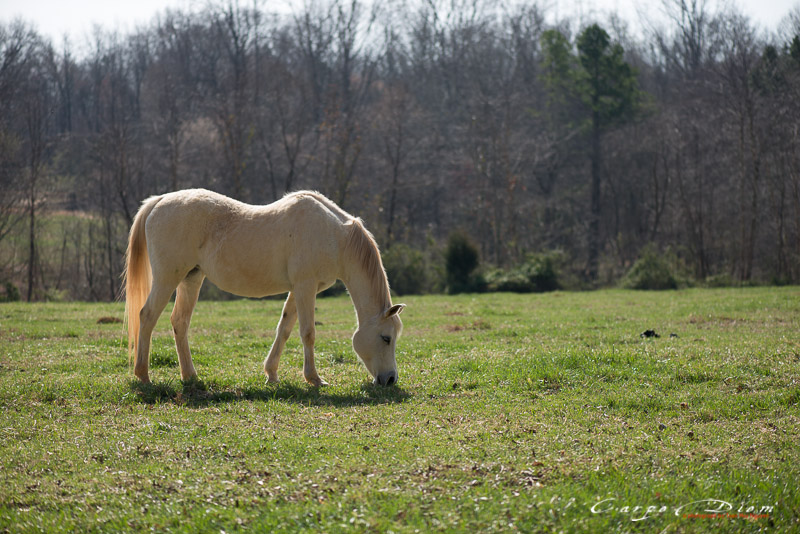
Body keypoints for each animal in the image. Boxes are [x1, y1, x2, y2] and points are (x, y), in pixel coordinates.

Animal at [123, 191, 406, 388]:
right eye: (386, 338)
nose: (390, 379)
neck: (335, 237)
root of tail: (159, 201)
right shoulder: (305, 287)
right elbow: (308, 333)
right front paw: (314, 379)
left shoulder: (298, 289)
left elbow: (285, 328)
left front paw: (271, 374)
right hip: (167, 279)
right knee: (147, 316)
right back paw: (144, 376)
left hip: (191, 279)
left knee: (179, 322)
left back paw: (190, 376)